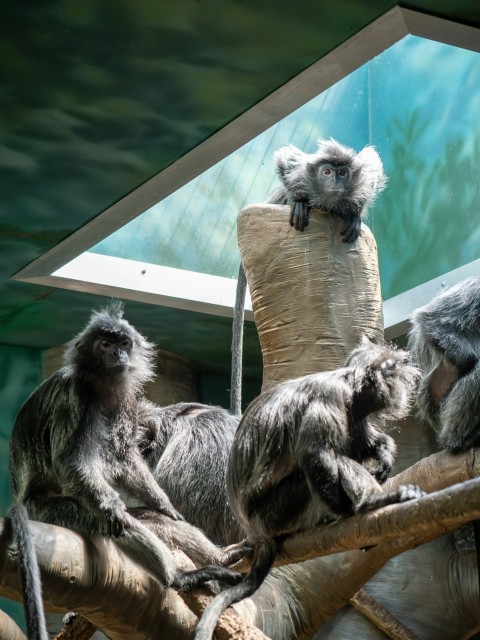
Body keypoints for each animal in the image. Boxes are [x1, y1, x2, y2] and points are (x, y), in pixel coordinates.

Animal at [8, 302, 245, 640]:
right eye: (105, 344)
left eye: (122, 343)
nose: (117, 355)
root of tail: (22, 502)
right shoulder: (77, 397)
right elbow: (74, 461)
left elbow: (125, 463)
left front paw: (164, 504)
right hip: (48, 511)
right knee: (119, 520)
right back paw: (181, 575)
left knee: (151, 521)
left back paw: (214, 560)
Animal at [193, 337, 425, 640]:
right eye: (393, 370)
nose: (407, 379)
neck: (349, 387)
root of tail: (255, 531)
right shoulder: (330, 398)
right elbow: (316, 456)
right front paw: (346, 510)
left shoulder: (353, 411)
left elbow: (361, 444)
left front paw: (384, 450)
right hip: (278, 512)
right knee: (322, 464)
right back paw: (369, 504)